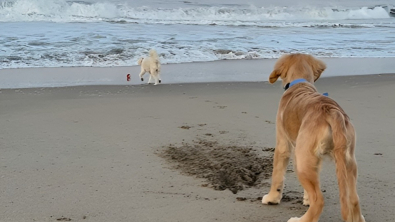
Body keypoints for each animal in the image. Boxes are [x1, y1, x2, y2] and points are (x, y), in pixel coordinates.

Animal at [262, 53, 366, 222]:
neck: (300, 83)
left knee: (319, 200)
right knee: (353, 199)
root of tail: (331, 111)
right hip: (348, 162)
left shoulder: (283, 144)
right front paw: (306, 199)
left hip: (303, 159)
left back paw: (300, 220)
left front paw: (272, 198)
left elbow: (277, 175)